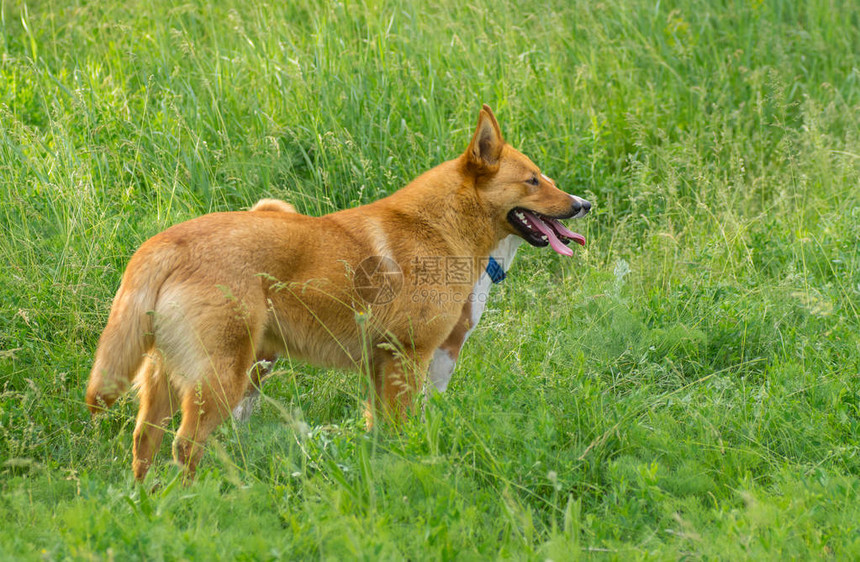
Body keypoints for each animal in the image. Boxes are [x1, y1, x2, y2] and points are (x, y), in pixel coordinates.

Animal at [87, 105, 592, 476]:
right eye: (532, 180)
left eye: (545, 178)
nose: (584, 204)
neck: (441, 225)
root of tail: (165, 244)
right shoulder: (410, 357)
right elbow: (403, 430)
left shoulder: (380, 365)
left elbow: (379, 430)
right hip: (222, 377)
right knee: (186, 447)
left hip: (168, 378)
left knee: (145, 443)